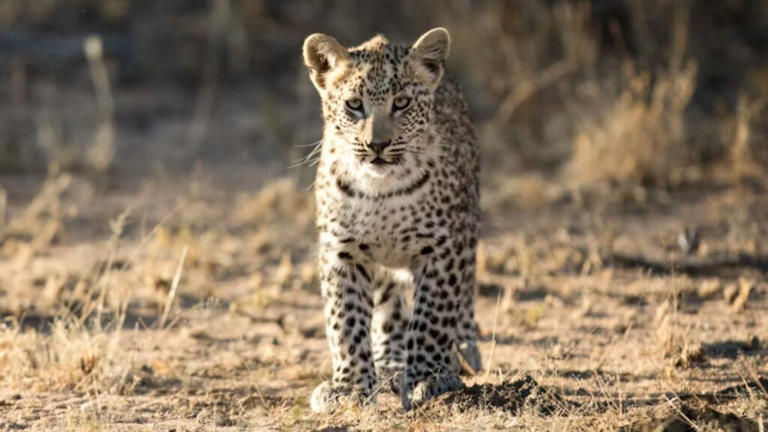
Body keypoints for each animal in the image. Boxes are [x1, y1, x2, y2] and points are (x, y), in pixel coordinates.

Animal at [302, 27, 481, 412]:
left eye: (402, 103)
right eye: (354, 104)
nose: (377, 145)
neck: (381, 190)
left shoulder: (442, 247)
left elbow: (431, 317)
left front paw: (429, 378)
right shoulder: (341, 249)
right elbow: (345, 320)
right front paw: (351, 388)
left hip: (469, 226)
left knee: (464, 293)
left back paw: (464, 348)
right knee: (389, 305)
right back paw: (391, 359)